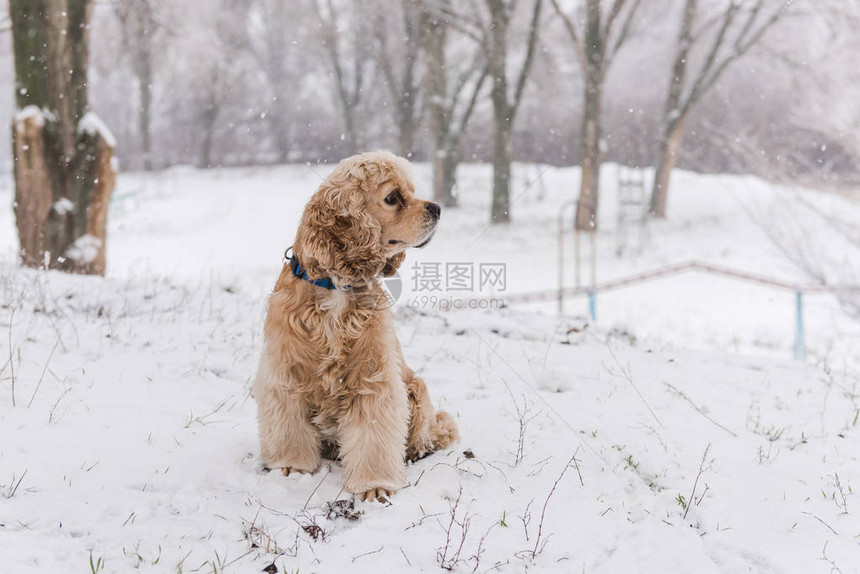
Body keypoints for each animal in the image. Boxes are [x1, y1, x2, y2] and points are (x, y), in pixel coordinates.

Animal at [252, 151, 460, 502]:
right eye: (393, 198)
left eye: (412, 191)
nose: (437, 208)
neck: (336, 286)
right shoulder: (286, 372)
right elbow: (289, 425)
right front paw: (292, 467)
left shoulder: (373, 377)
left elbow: (373, 434)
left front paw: (374, 485)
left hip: (416, 389)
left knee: (432, 433)